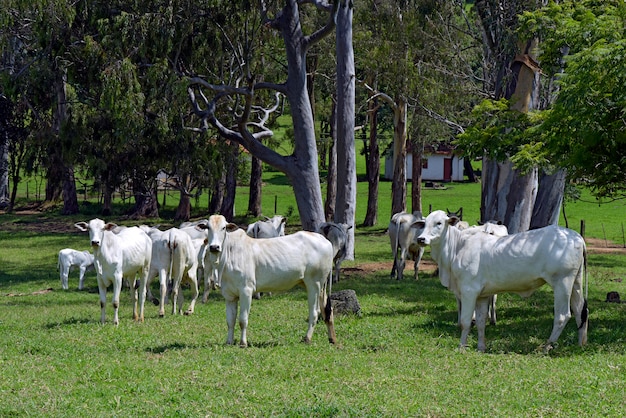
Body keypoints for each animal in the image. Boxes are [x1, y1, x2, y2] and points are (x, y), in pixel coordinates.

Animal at [196, 214, 336, 348]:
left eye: (224, 228)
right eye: (208, 227)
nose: (214, 247)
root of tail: (325, 240)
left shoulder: (246, 290)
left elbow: (242, 320)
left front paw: (243, 343)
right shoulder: (229, 295)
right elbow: (230, 320)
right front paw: (229, 342)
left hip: (314, 284)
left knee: (315, 312)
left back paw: (307, 338)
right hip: (319, 286)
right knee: (327, 310)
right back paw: (332, 338)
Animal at [414, 211, 584, 352]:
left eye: (439, 223)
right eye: (424, 223)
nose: (421, 239)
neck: (457, 247)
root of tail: (576, 237)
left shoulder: (469, 292)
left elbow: (466, 321)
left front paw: (461, 347)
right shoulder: (482, 296)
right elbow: (481, 321)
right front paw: (481, 347)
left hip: (562, 282)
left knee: (563, 315)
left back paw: (547, 347)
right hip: (575, 283)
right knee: (580, 310)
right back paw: (581, 343)